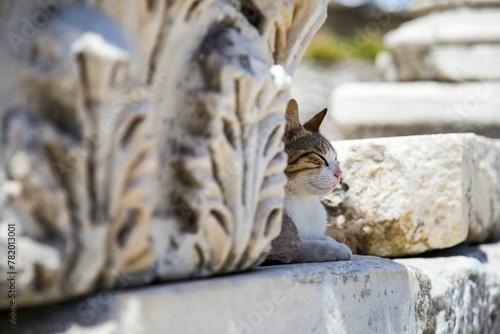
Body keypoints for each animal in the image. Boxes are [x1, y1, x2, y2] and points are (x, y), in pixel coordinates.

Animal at [282, 99, 352, 264]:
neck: (303, 200)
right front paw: (331, 248)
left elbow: (322, 237)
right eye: (320, 157)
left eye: (335, 158)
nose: (339, 173)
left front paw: (331, 241)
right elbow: (298, 247)